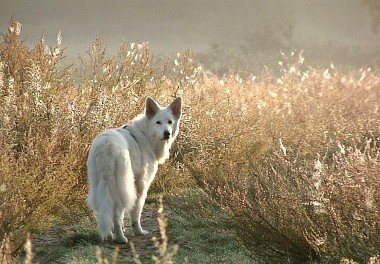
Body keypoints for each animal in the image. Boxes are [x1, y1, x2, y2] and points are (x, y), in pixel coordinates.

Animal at [87, 96, 182, 242]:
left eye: (170, 122)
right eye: (158, 122)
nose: (167, 133)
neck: (146, 134)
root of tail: (107, 146)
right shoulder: (141, 186)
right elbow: (136, 213)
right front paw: (138, 231)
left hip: (100, 184)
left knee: (104, 209)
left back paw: (109, 235)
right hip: (123, 185)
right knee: (117, 212)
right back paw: (120, 238)